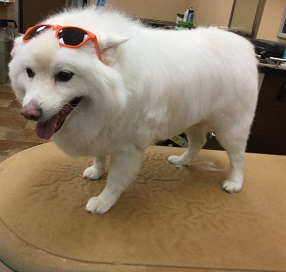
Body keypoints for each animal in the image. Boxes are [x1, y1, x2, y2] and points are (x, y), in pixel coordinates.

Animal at [8, 6, 260, 215]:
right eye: (29, 72)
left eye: (64, 76)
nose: (29, 113)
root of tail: (244, 45)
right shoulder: (101, 130)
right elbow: (99, 156)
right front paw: (96, 171)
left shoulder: (127, 149)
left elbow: (115, 181)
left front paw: (103, 202)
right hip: (194, 119)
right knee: (198, 142)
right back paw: (183, 161)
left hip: (231, 127)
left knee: (237, 157)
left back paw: (234, 182)